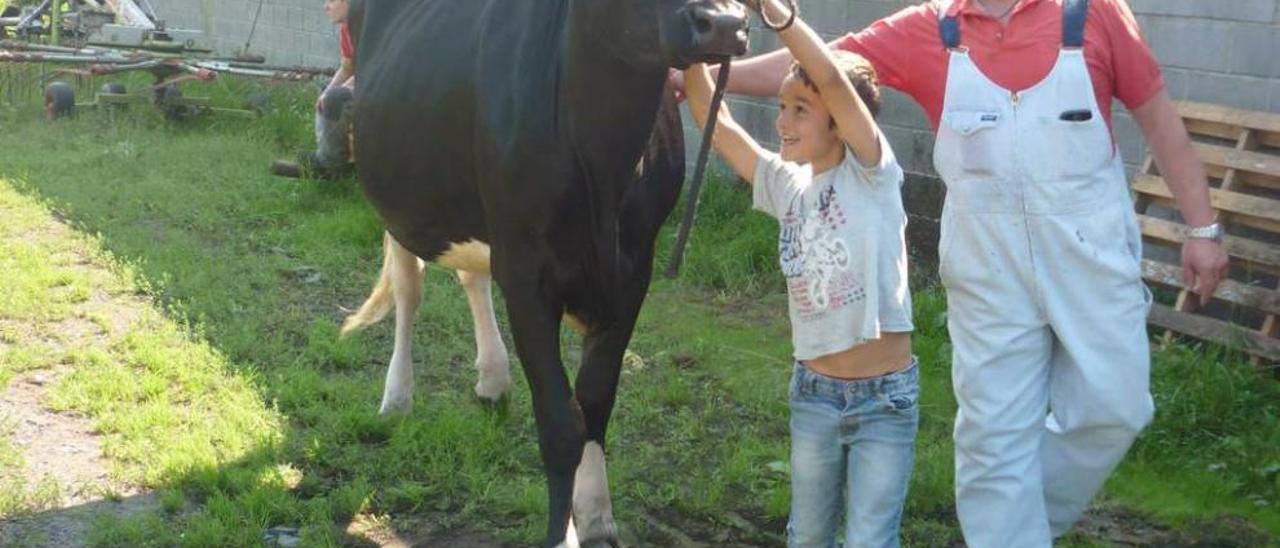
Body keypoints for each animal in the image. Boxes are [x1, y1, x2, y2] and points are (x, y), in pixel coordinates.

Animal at [340, 2, 747, 545]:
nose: (723, 23)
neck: (606, 168)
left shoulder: (634, 271)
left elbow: (594, 404)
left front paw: (597, 518)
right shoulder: (526, 272)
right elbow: (559, 422)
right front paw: (562, 532)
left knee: (471, 276)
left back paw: (492, 380)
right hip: (402, 202)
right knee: (410, 289)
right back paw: (397, 397)